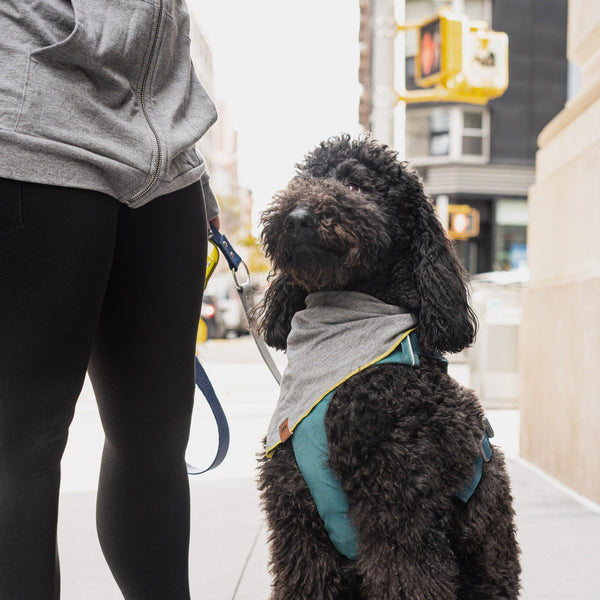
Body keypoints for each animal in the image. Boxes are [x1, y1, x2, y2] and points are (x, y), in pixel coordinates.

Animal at [255, 136, 516, 600]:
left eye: (357, 186)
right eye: (303, 181)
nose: (298, 218)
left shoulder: (399, 504)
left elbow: (407, 577)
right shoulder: (296, 510)